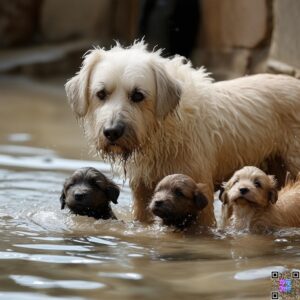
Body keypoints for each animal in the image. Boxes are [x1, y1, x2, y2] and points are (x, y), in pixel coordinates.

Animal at [65, 41, 300, 226]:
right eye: (101, 93)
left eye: (138, 95)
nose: (112, 132)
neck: (162, 133)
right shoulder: (143, 192)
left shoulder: (199, 185)